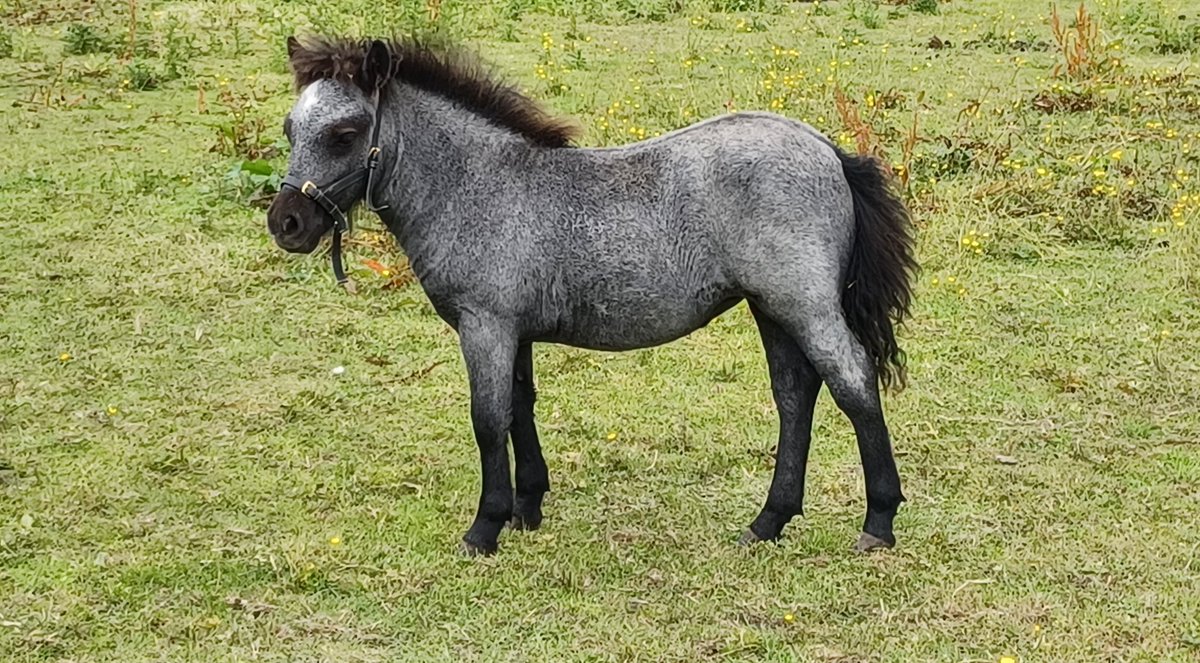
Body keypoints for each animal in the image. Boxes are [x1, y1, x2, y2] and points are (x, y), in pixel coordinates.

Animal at [265, 36, 916, 554]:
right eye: (291, 129)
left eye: (345, 134)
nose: (286, 223)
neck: (475, 188)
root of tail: (829, 151)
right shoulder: (514, 330)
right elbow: (520, 408)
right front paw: (527, 508)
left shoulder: (485, 326)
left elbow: (488, 419)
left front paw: (484, 528)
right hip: (771, 308)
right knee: (794, 396)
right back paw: (768, 522)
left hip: (804, 306)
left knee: (853, 384)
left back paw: (878, 522)